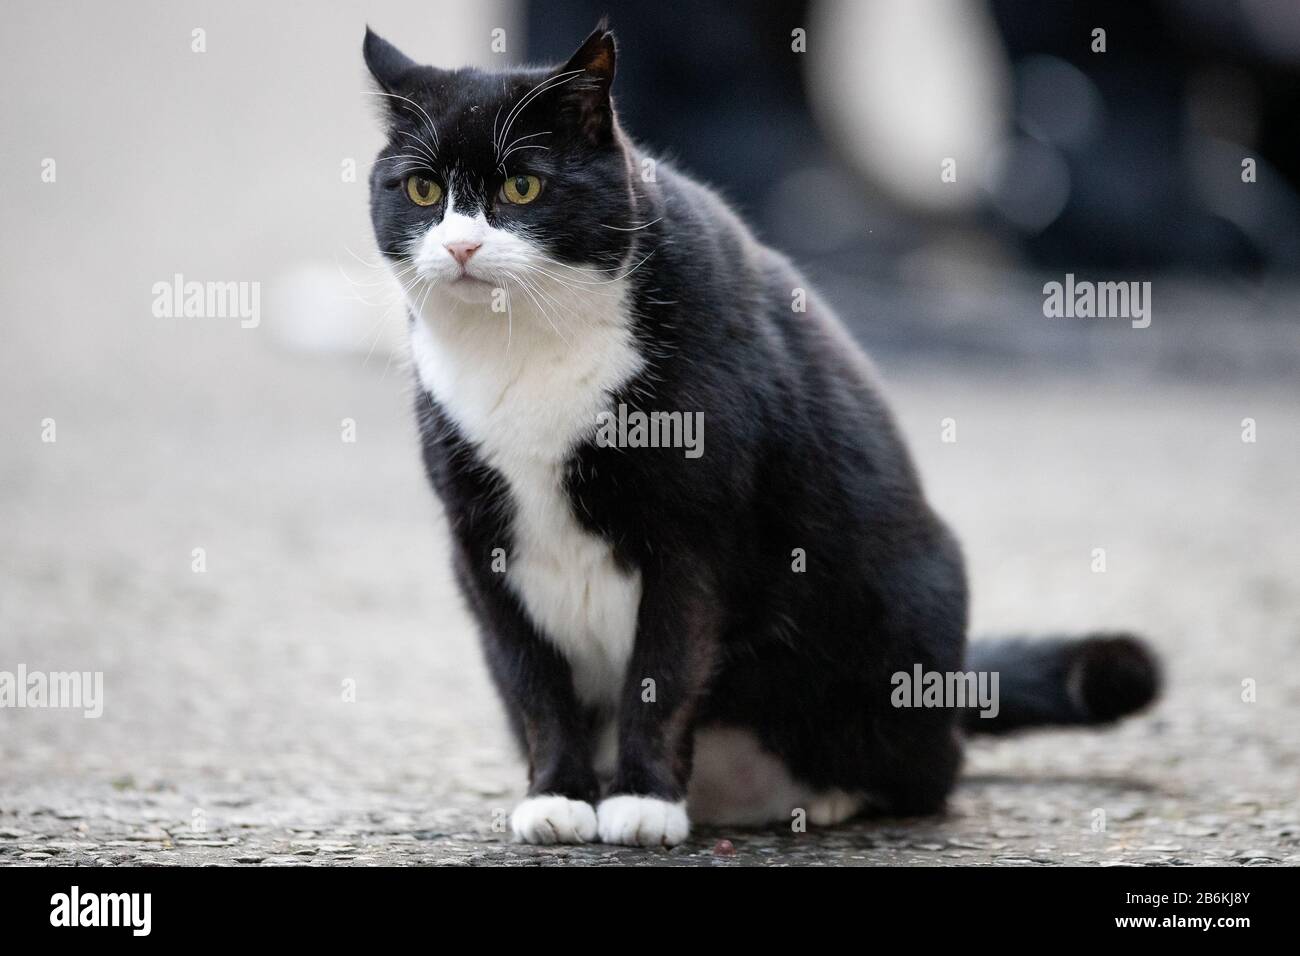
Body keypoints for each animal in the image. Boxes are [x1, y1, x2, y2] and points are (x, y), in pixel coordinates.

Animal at [364, 20, 1159, 842]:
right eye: (422, 190)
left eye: (522, 186)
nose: (460, 247)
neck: (523, 349)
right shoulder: (479, 539)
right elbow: (533, 683)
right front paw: (557, 796)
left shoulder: (693, 533)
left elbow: (663, 672)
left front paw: (643, 800)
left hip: (907, 626)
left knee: (934, 771)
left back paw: (833, 796)